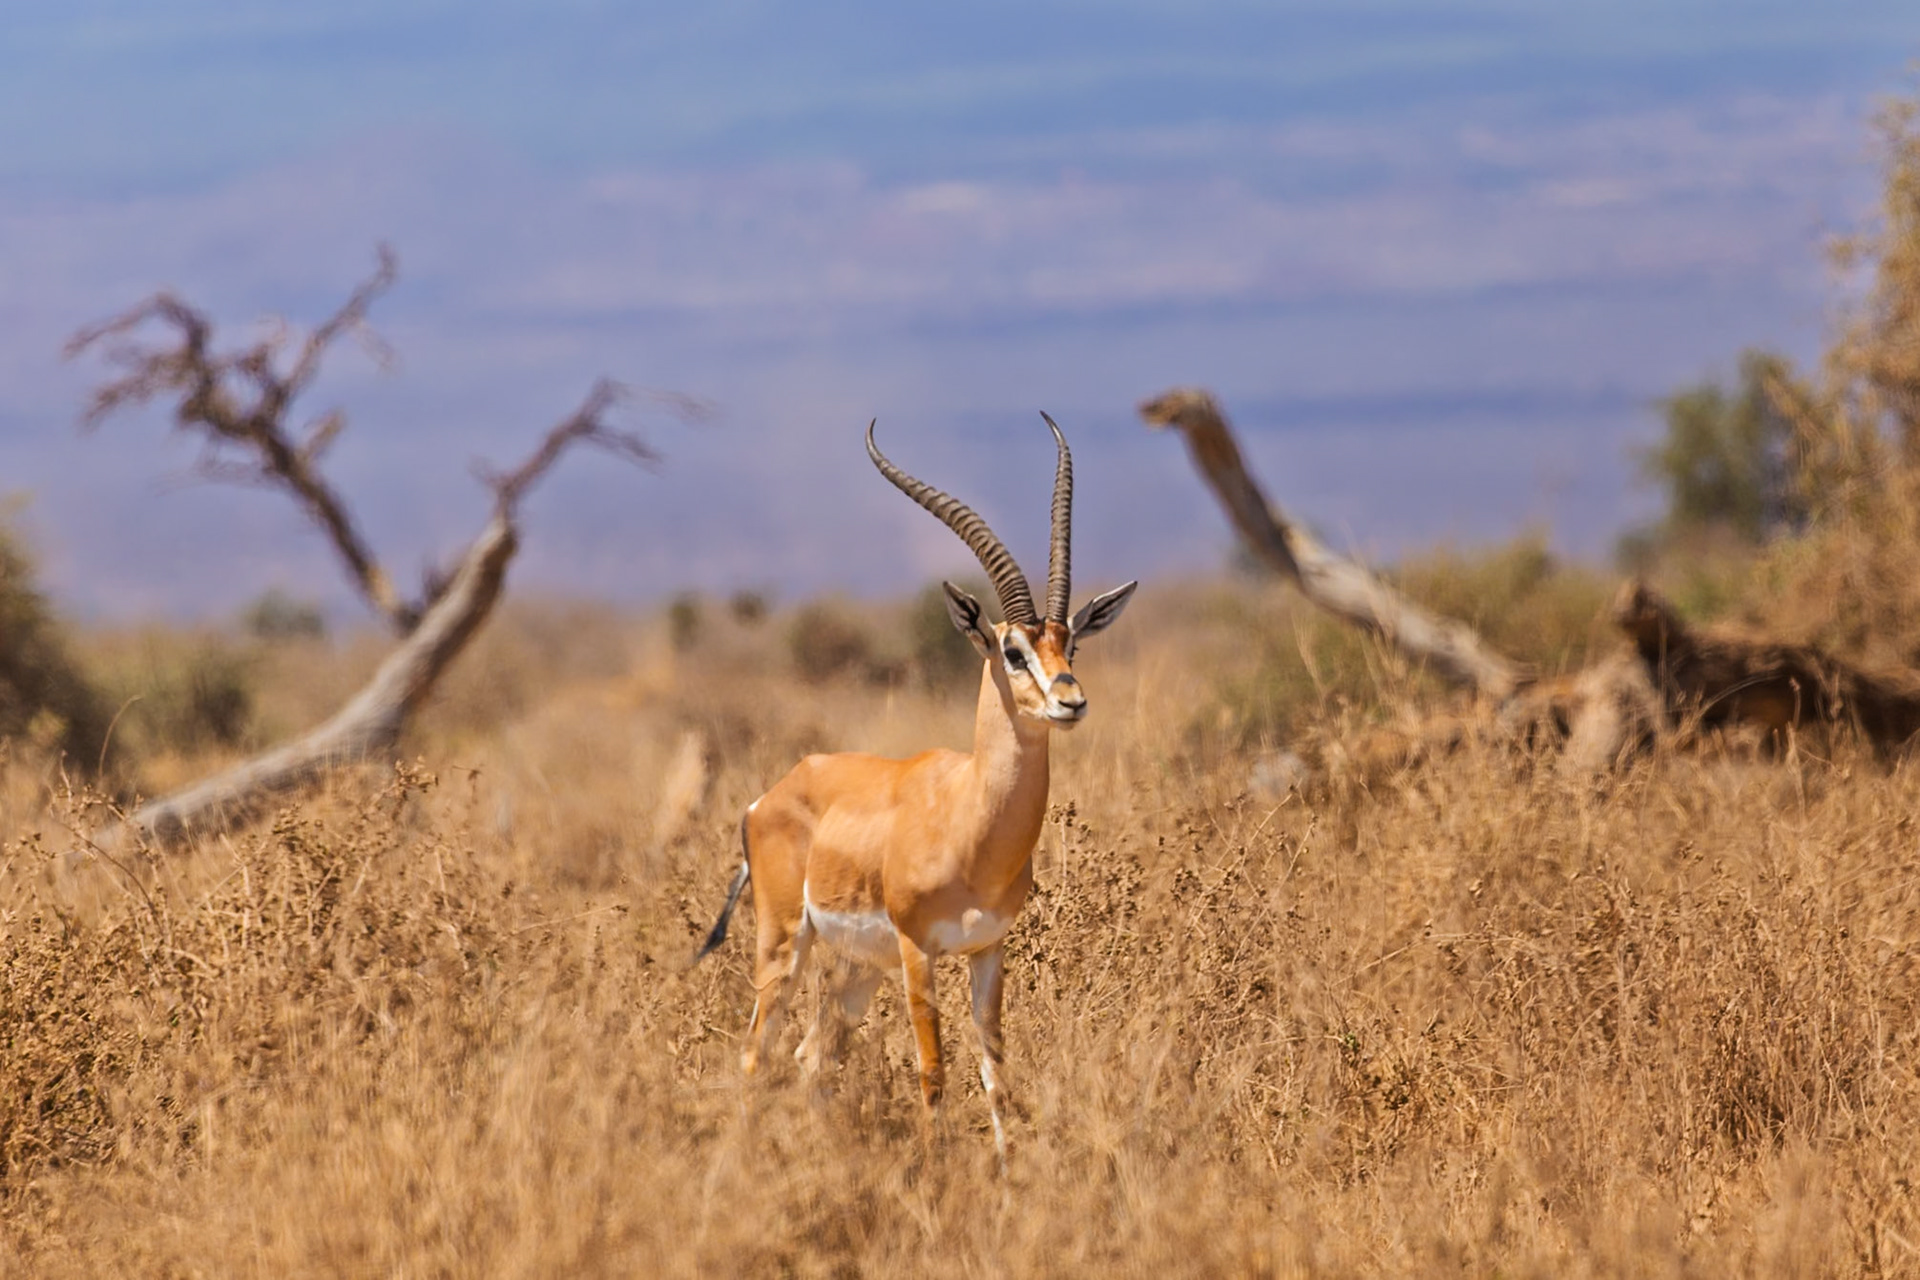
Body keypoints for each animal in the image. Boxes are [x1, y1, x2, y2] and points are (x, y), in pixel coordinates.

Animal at [694, 414, 1135, 1159]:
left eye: (1069, 642)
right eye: (1012, 649)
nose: (1071, 700)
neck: (969, 824)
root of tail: (771, 794)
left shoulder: (988, 950)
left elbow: (995, 1072)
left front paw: (1007, 1170)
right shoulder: (916, 950)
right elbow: (934, 1070)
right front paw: (937, 1169)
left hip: (855, 966)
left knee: (812, 1056)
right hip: (785, 942)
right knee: (757, 1053)